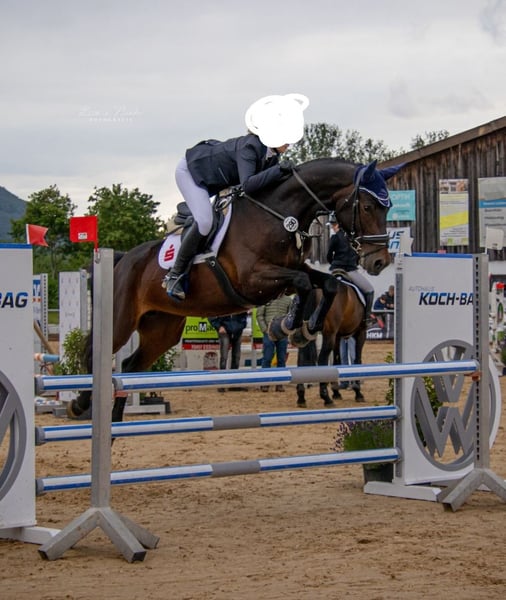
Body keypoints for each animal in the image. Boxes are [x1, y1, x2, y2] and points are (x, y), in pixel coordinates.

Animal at [68, 158, 401, 422]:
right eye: (368, 206)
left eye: (388, 208)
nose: (379, 261)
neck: (279, 213)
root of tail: (122, 259)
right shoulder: (253, 280)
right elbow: (304, 284)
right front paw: (288, 326)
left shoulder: (294, 270)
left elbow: (326, 283)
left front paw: (303, 328)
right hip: (120, 320)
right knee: (95, 355)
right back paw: (80, 404)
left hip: (162, 329)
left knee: (129, 365)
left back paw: (114, 422)